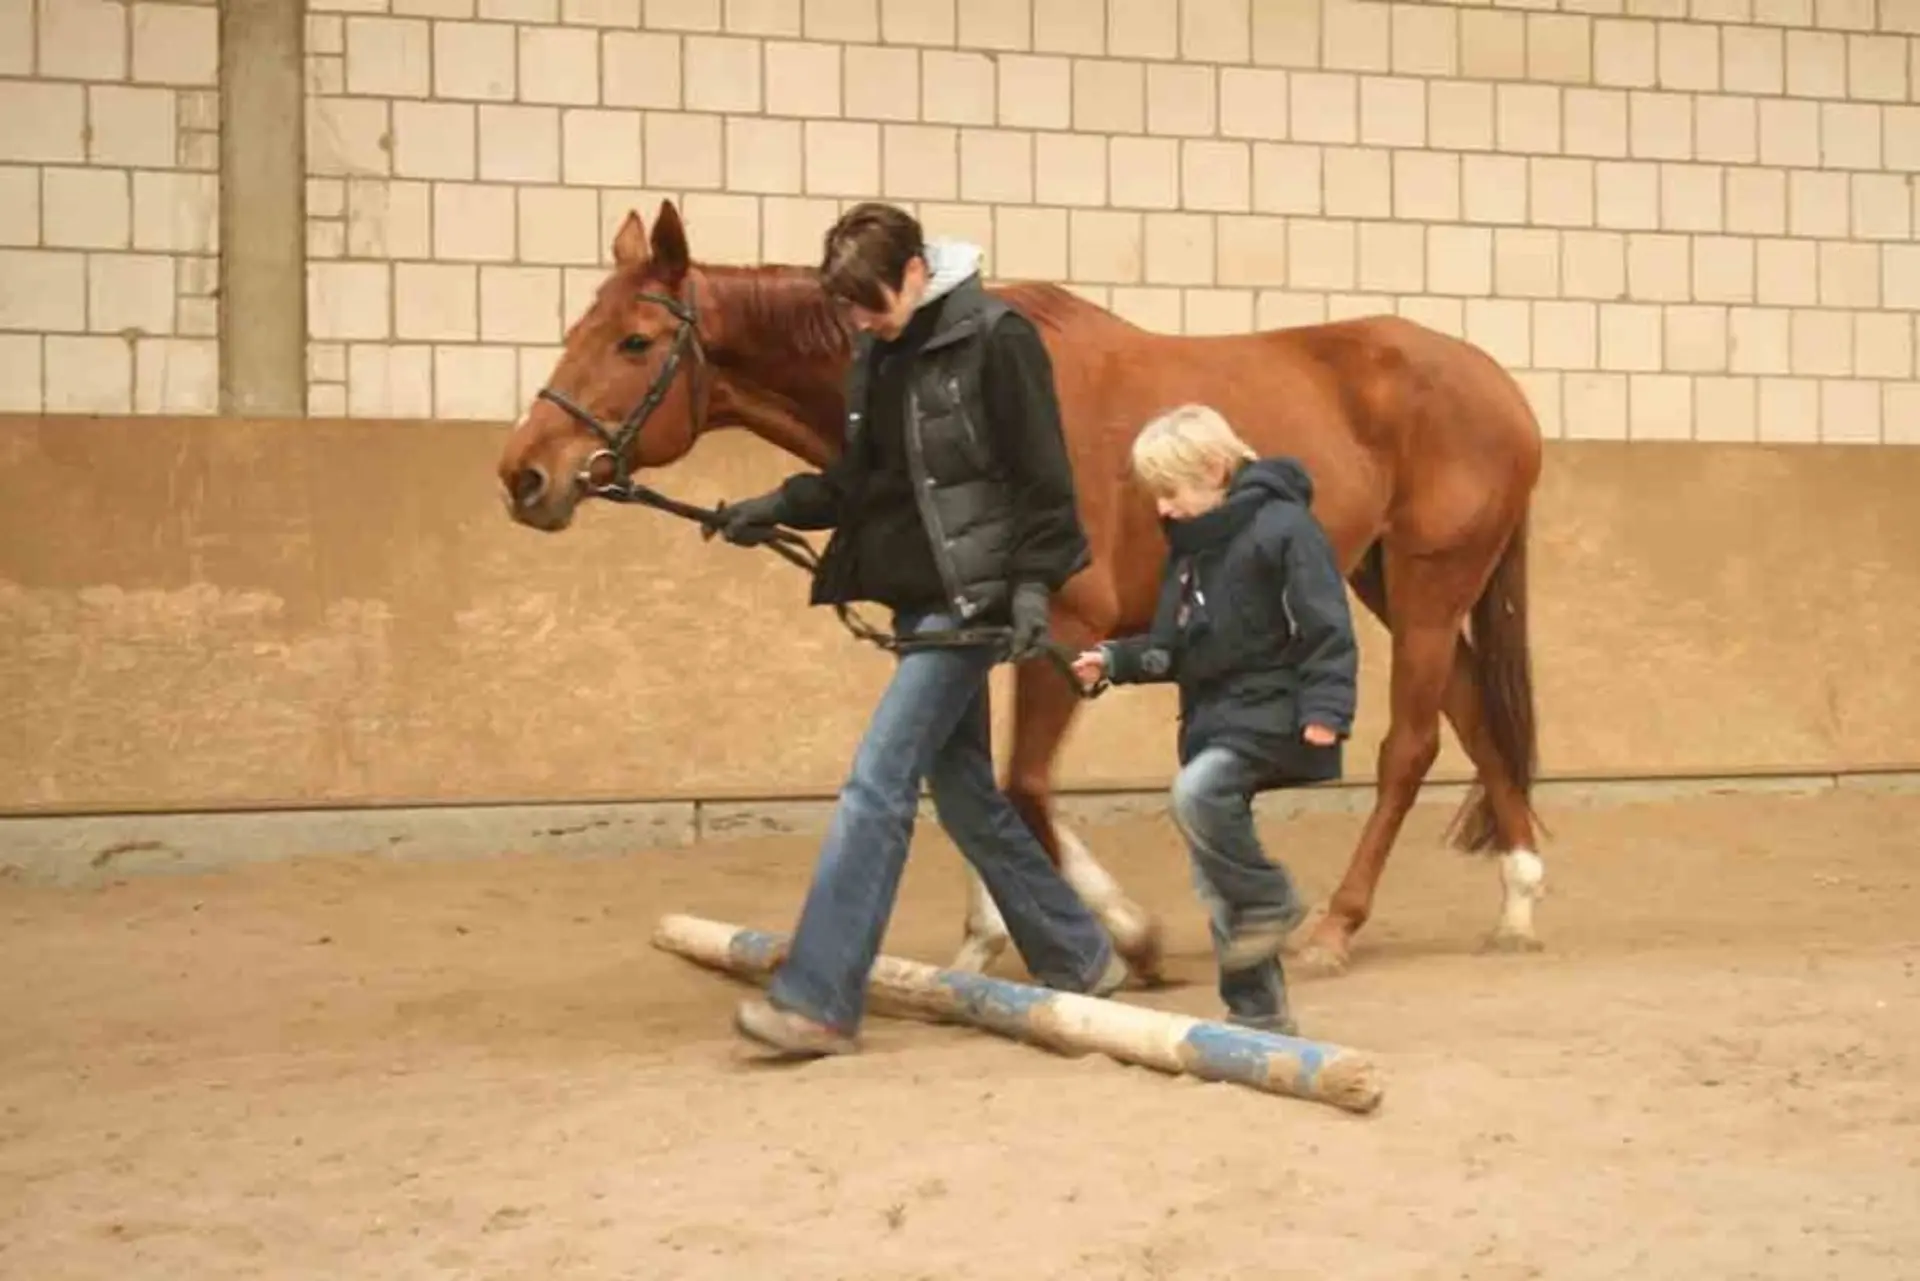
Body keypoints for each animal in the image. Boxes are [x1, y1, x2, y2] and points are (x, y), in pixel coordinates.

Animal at [495, 199, 1547, 984]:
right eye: (576, 330)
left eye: (635, 342)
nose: (523, 475)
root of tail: (1498, 383)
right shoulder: (967, 636)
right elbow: (970, 783)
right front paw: (988, 936)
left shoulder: (1063, 634)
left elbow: (1022, 786)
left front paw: (1129, 935)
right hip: (1387, 579)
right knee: (1473, 710)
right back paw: (1521, 898)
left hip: (1428, 581)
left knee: (1411, 744)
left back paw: (1333, 926)